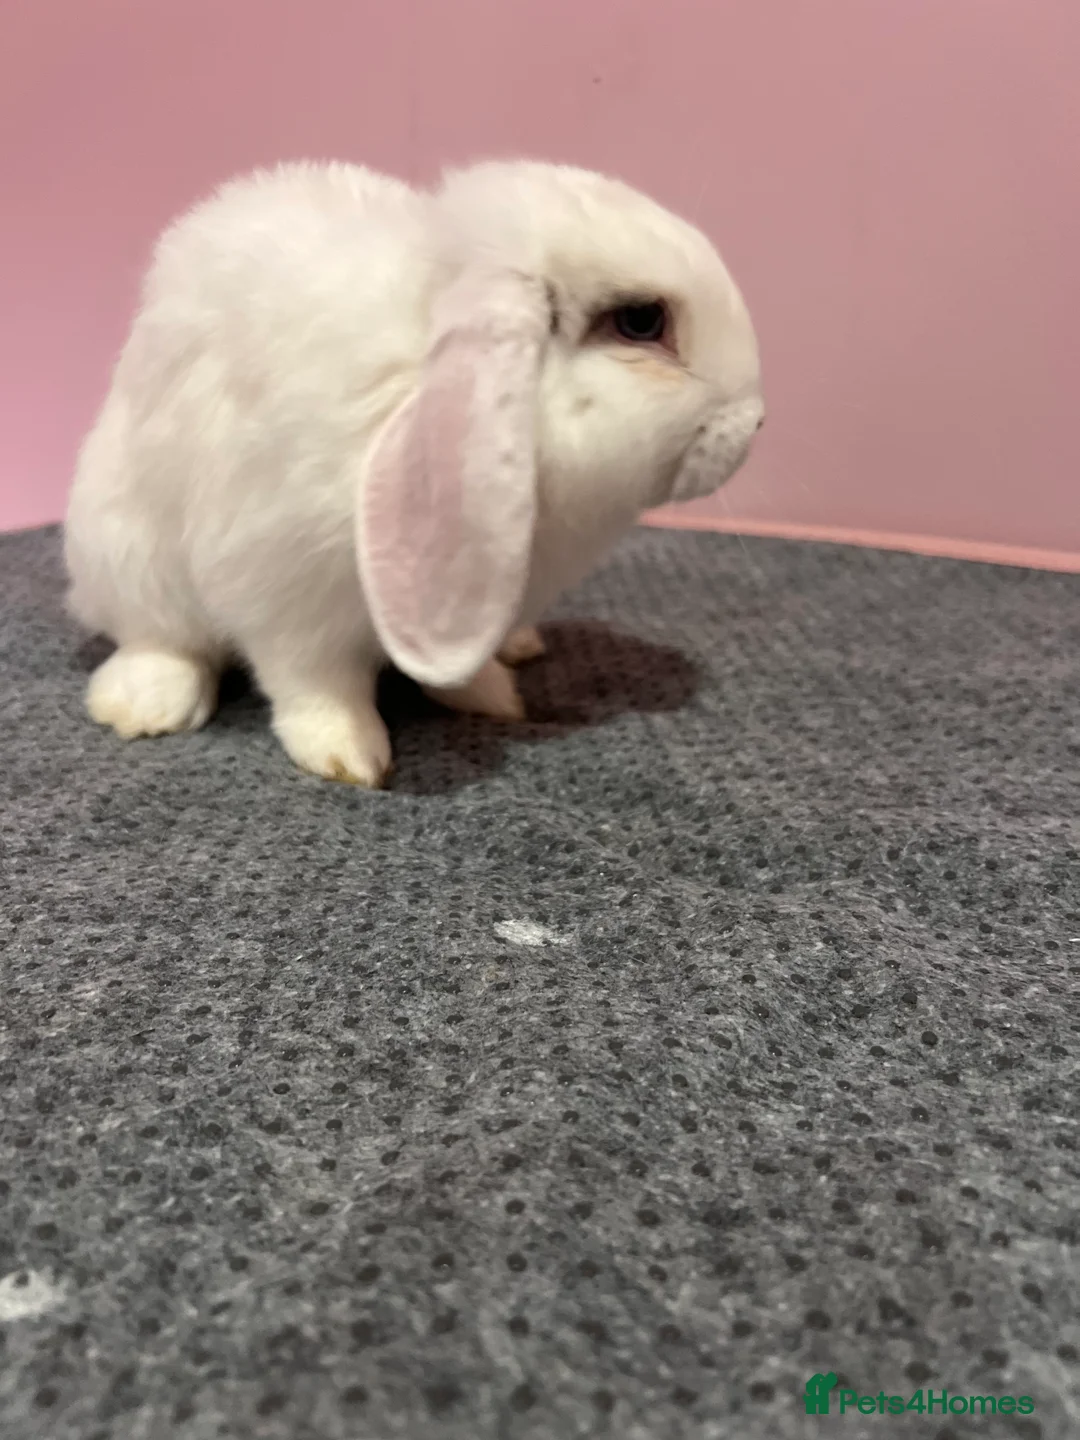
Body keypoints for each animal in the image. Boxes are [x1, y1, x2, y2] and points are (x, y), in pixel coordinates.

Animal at [65, 159, 764, 786]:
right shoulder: (286, 594)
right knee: (158, 636)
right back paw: (145, 705)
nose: (756, 421)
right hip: (128, 550)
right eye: (642, 320)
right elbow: (315, 683)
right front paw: (349, 755)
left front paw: (494, 697)